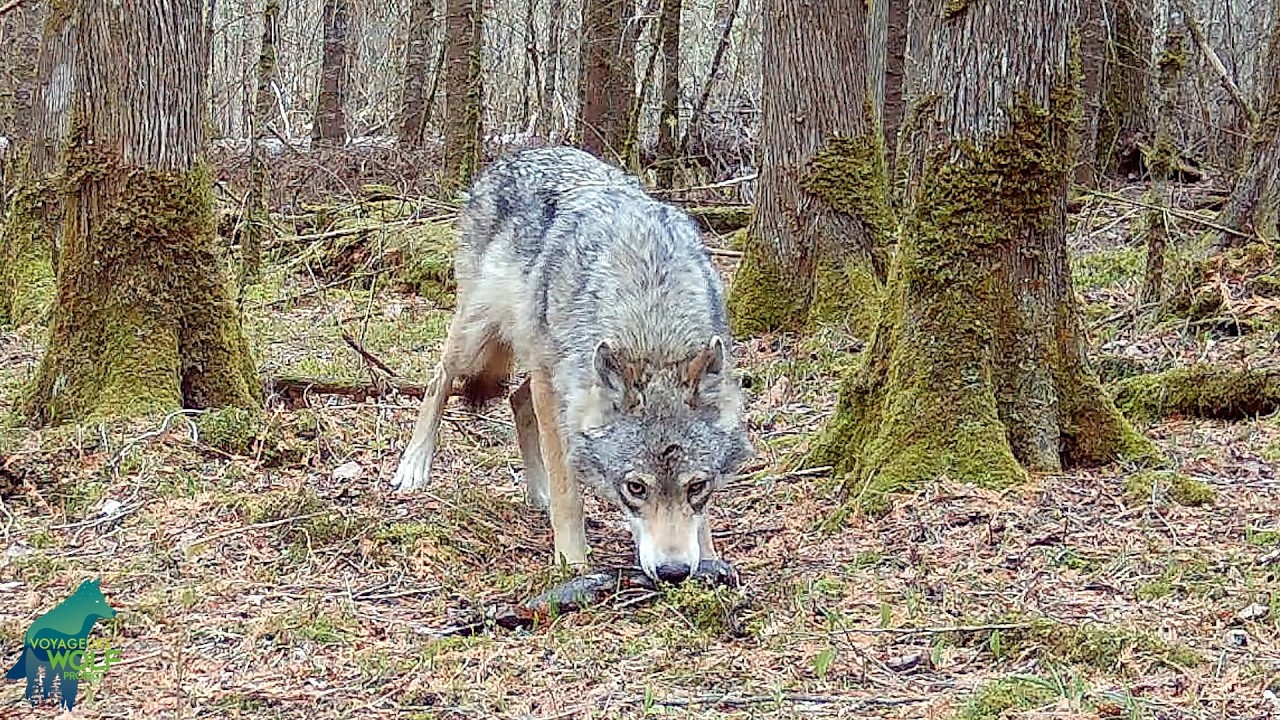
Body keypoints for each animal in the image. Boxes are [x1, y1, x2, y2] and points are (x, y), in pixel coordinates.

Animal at [391, 146, 754, 584]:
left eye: (696, 486)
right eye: (635, 488)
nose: (673, 571)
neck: (651, 320)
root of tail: (522, 151)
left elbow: (701, 519)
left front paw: (710, 557)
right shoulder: (555, 390)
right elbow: (568, 490)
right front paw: (573, 562)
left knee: (516, 399)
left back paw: (536, 492)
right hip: (479, 338)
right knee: (438, 378)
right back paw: (414, 466)